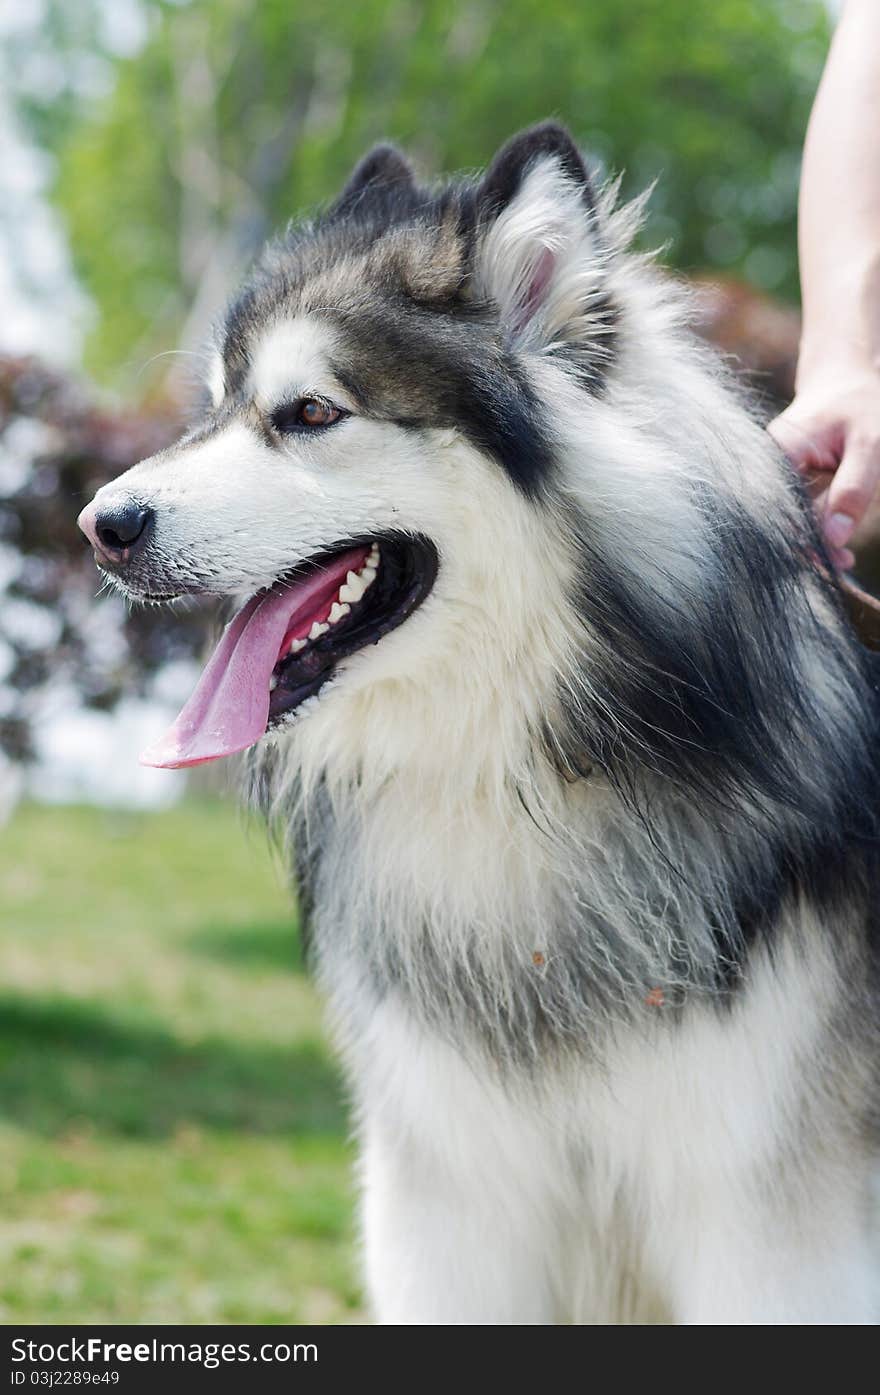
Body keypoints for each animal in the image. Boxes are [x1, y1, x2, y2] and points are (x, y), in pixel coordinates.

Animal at [77, 125, 880, 1322]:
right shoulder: (450, 1198)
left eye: (310, 413)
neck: (510, 777)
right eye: (213, 408)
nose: (101, 524)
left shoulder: (770, 1219)